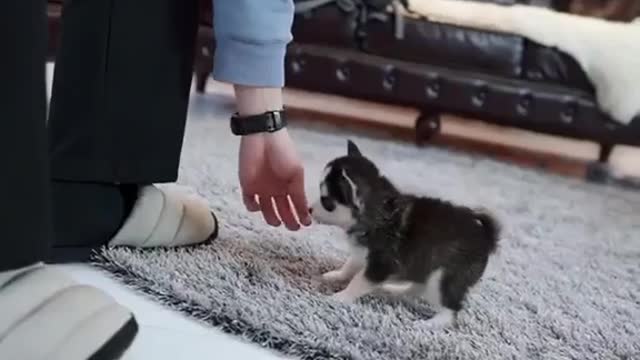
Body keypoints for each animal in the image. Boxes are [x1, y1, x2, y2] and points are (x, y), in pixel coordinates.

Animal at [310, 141, 500, 330]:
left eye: (326, 201)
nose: (309, 209)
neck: (377, 212)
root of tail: (485, 237)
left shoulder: (381, 263)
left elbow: (358, 281)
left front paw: (341, 297)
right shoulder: (362, 252)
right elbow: (350, 266)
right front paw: (336, 275)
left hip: (443, 276)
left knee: (450, 310)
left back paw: (428, 324)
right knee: (419, 285)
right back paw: (396, 290)